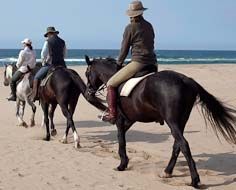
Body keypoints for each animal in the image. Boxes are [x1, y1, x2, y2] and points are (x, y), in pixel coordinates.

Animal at [84, 55, 236, 189]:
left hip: (172, 121)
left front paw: (122, 165)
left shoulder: (120, 120)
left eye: (86, 73)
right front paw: (124, 162)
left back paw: (194, 180)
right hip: (181, 121)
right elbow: (121, 138)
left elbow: (121, 140)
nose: (88, 91)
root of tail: (186, 80)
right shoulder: (129, 120)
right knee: (177, 145)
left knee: (184, 144)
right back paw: (167, 172)